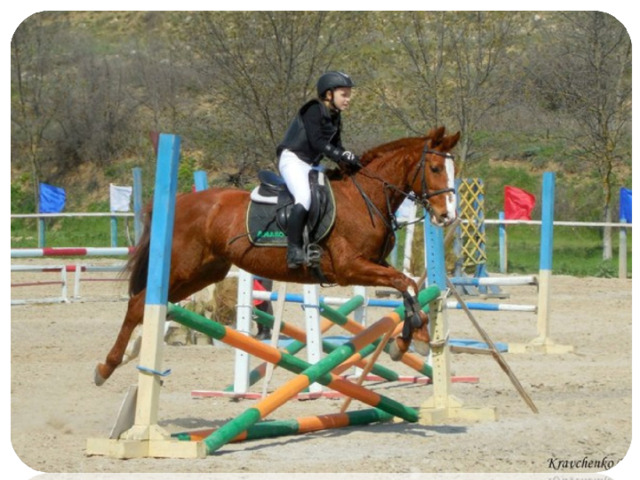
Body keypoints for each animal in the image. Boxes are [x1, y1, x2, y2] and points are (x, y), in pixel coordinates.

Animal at [92, 125, 458, 384]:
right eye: (435, 168)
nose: (448, 216)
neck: (364, 197)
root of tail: (181, 201)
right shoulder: (350, 268)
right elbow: (404, 283)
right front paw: (413, 338)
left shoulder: (373, 264)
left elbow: (408, 284)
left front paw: (412, 339)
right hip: (183, 267)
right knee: (139, 303)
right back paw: (108, 366)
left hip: (205, 272)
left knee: (155, 303)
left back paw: (133, 351)